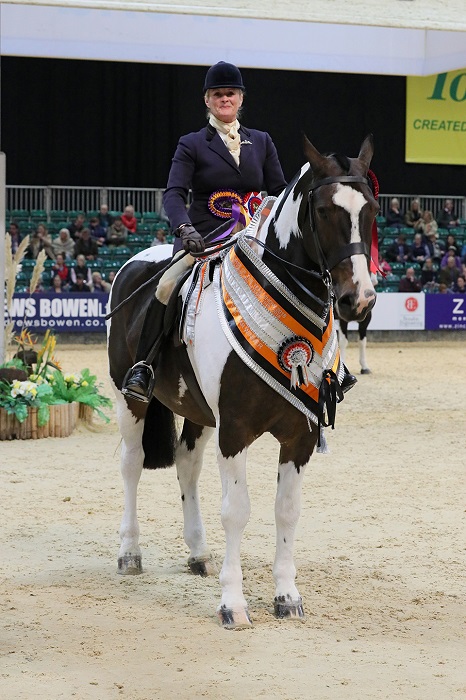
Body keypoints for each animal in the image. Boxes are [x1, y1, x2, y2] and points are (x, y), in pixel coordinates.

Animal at [107, 135, 376, 628]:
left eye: (371, 210)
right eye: (324, 210)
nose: (359, 299)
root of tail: (136, 261)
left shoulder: (300, 433)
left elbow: (286, 511)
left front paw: (287, 596)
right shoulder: (234, 430)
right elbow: (237, 511)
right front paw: (233, 603)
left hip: (195, 408)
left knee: (186, 464)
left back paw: (197, 553)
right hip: (129, 399)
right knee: (132, 464)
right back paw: (130, 554)